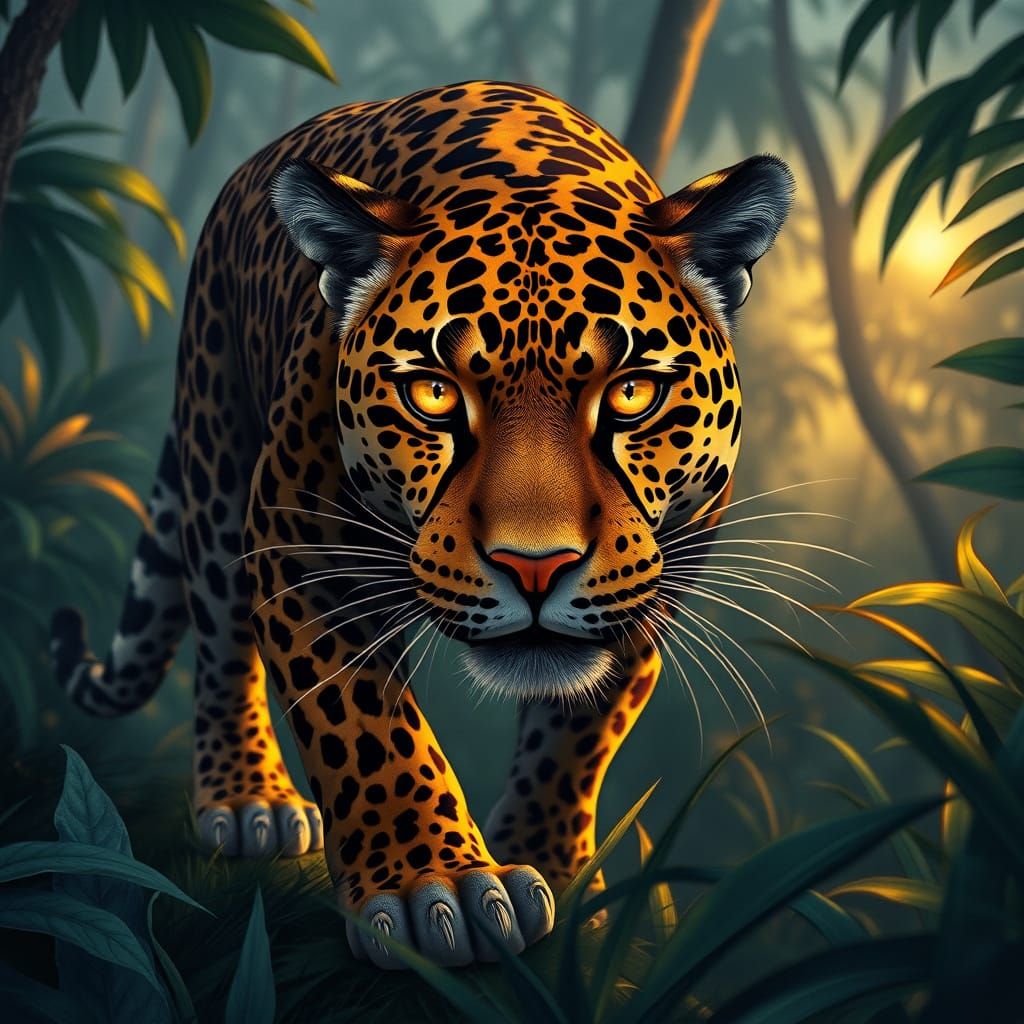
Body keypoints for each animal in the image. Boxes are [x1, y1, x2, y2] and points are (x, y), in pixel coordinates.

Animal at [51, 80, 792, 969]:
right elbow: (365, 723)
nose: (535, 567)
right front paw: (432, 888)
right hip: (216, 443)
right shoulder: (307, 546)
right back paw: (248, 800)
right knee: (224, 634)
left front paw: (551, 864)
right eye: (434, 393)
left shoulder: (654, 577)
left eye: (633, 393)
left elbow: (579, 732)